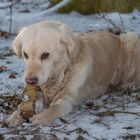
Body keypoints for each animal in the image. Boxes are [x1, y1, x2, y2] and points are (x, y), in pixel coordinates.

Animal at [6, 20, 140, 127]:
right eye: (25, 54)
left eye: (45, 55)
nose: (30, 81)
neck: (60, 74)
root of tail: (115, 36)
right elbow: (22, 106)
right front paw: (14, 116)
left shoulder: (67, 98)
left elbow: (55, 108)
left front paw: (42, 117)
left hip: (131, 39)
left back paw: (127, 85)